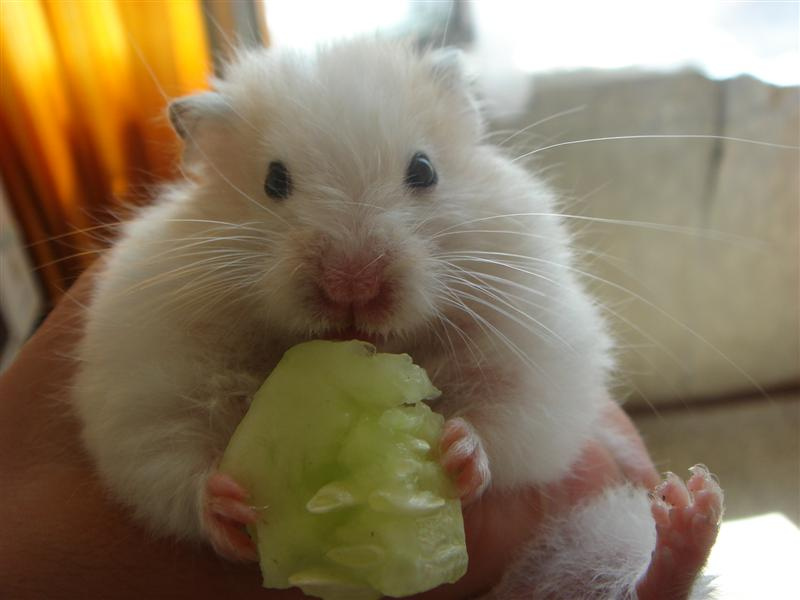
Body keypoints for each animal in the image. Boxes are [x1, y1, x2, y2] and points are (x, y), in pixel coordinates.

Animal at [72, 39, 722, 598]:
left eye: (424, 170)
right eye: (274, 180)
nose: (352, 284)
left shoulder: (539, 362)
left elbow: (506, 421)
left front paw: (459, 451)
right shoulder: (147, 389)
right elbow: (169, 462)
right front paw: (229, 505)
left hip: (598, 524)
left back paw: (690, 512)